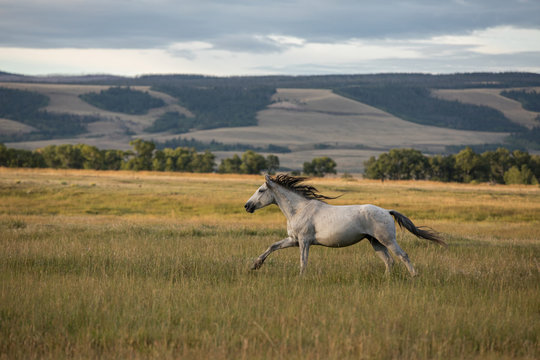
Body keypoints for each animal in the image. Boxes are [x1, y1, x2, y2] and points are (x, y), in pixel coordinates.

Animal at [243, 174, 446, 276]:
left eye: (260, 190)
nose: (247, 206)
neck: (299, 209)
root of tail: (387, 211)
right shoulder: (293, 239)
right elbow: (273, 246)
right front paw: (255, 265)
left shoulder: (303, 241)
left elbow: (303, 261)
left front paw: (301, 277)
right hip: (375, 242)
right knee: (389, 261)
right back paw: (386, 280)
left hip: (387, 240)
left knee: (403, 256)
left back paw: (414, 276)